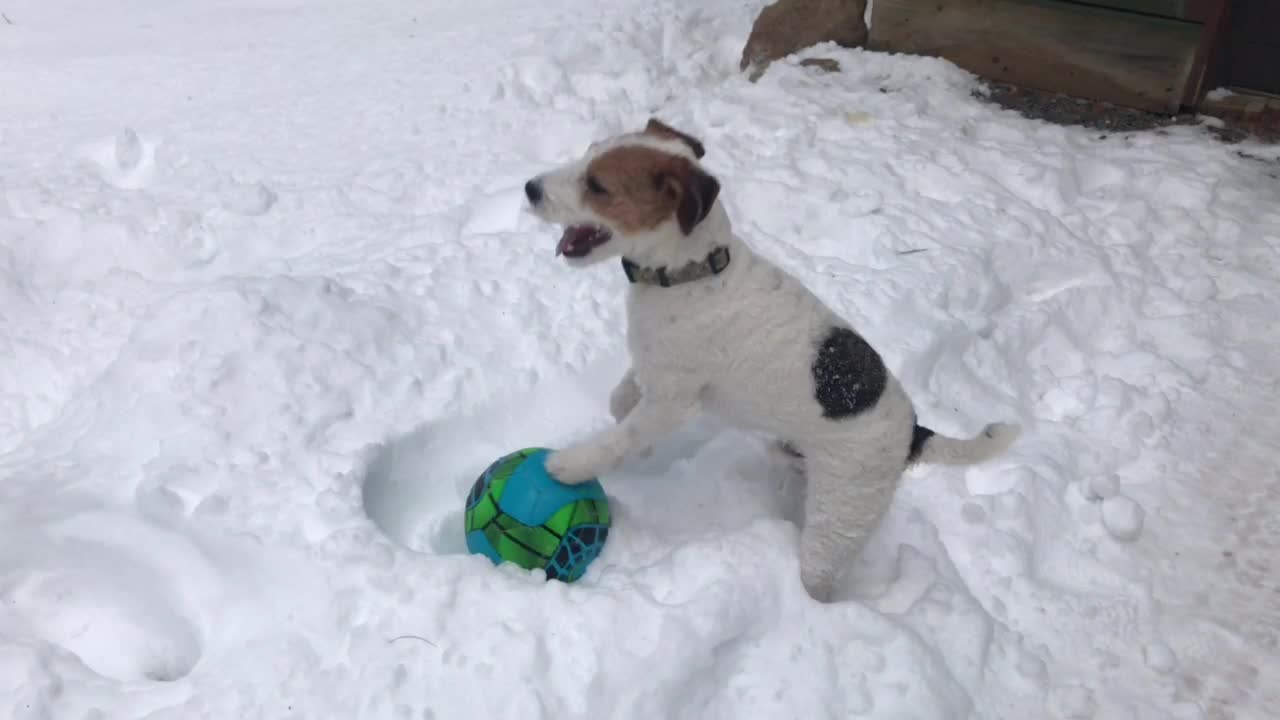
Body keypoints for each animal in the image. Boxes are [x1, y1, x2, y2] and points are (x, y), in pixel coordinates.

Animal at [522, 117, 1018, 599]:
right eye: (589, 151)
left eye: (598, 185)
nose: (529, 187)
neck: (692, 272)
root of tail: (913, 430)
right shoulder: (656, 369)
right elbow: (622, 399)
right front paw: (625, 424)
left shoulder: (672, 400)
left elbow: (620, 438)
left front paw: (569, 466)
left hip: (840, 518)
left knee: (820, 581)